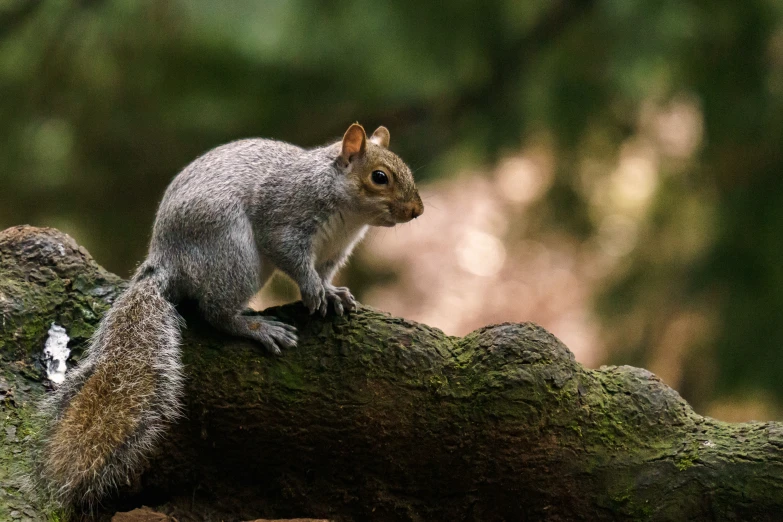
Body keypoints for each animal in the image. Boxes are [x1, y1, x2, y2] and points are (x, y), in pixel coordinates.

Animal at [32, 122, 422, 504]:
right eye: (380, 177)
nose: (416, 211)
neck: (347, 216)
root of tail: (167, 260)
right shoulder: (287, 218)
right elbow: (292, 258)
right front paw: (312, 291)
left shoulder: (333, 250)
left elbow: (324, 273)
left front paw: (332, 293)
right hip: (233, 253)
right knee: (215, 312)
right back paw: (255, 327)